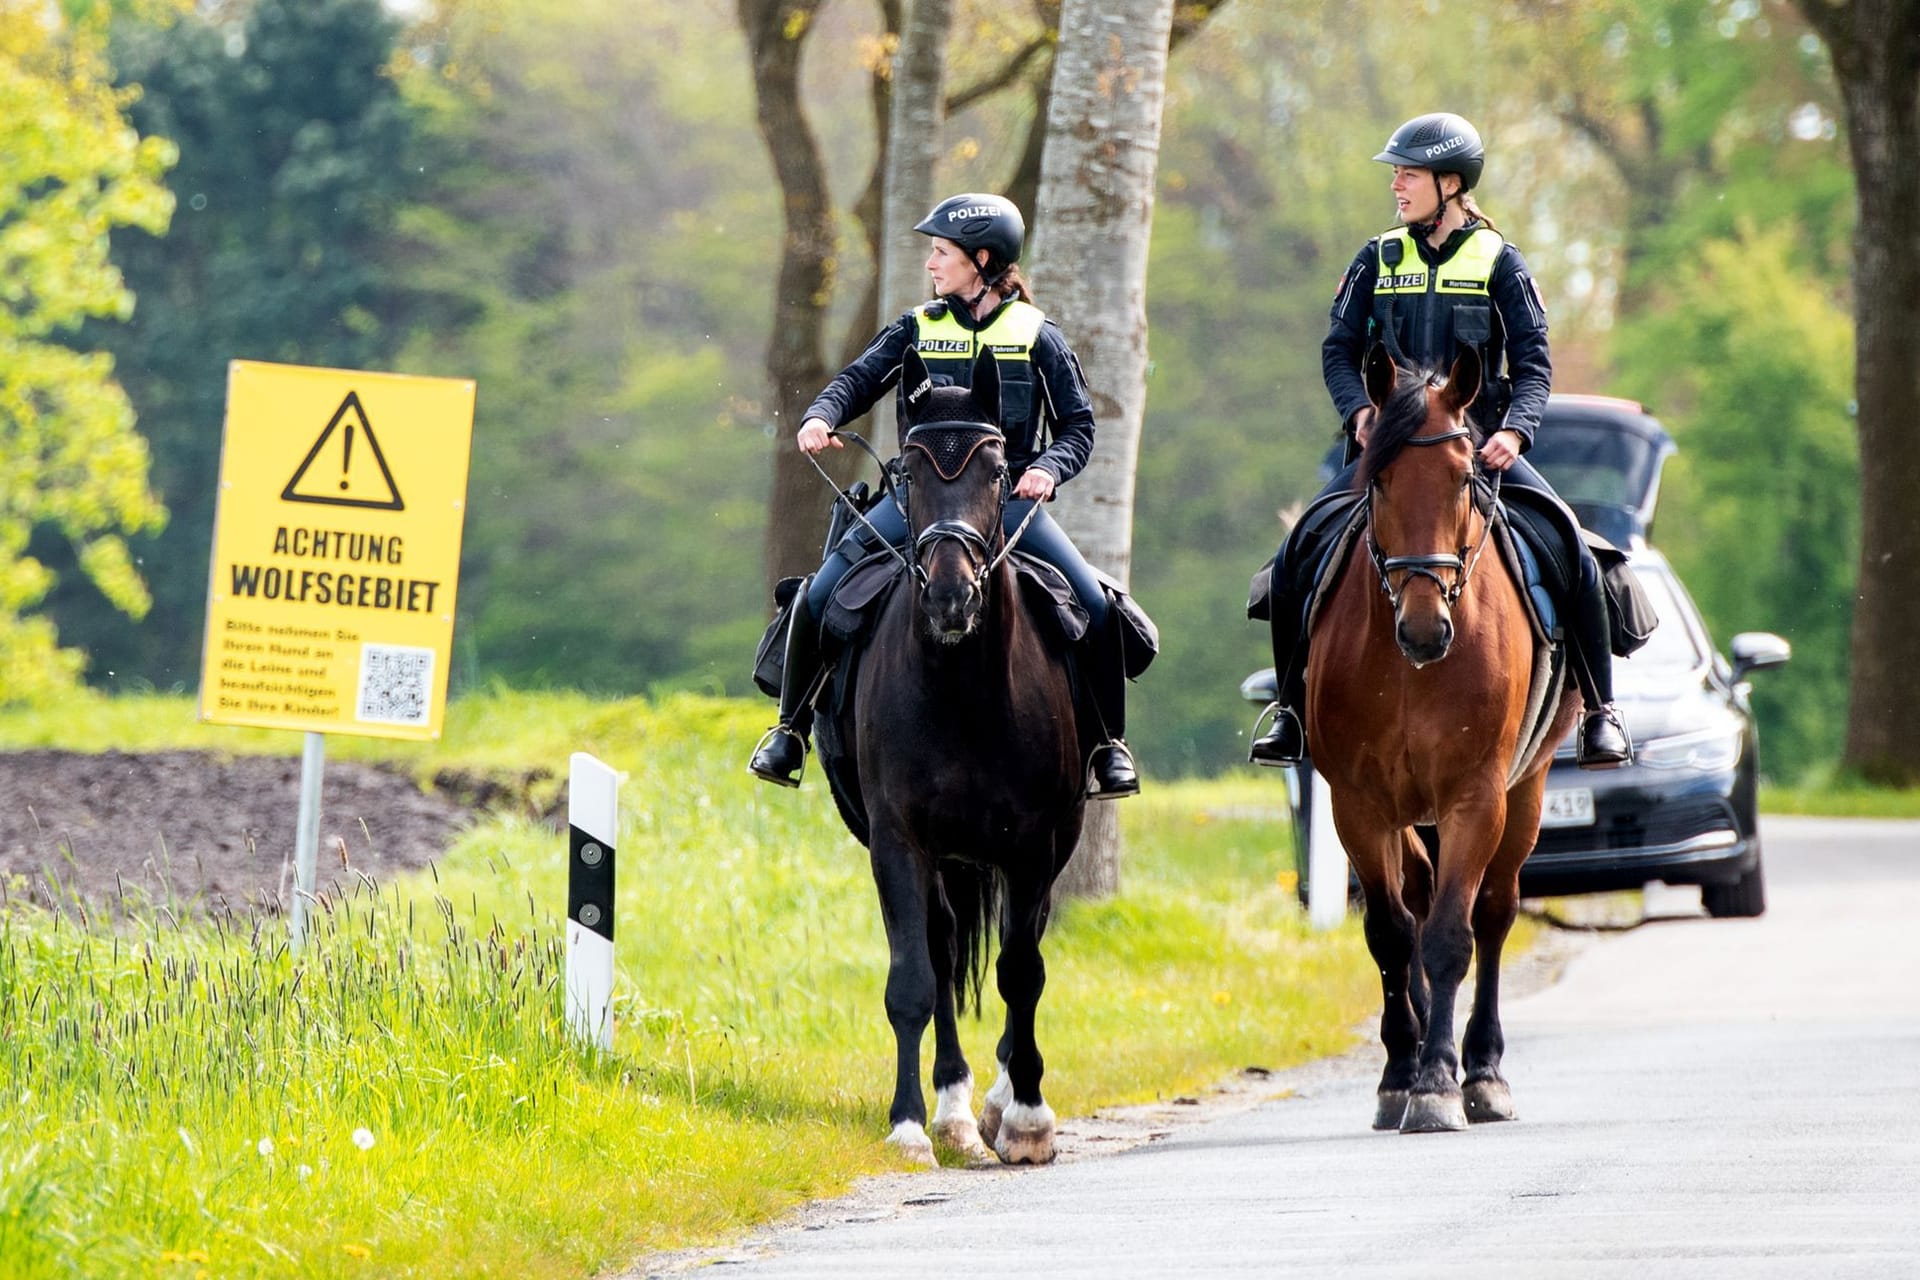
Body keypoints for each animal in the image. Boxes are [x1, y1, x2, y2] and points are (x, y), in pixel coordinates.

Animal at [810, 345, 1082, 1166]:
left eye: (996, 470)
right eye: (912, 472)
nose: (951, 598)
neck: (964, 694)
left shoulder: (1034, 845)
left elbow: (1021, 973)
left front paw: (1026, 1118)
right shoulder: (899, 842)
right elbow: (914, 982)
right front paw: (909, 1125)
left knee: (1011, 958)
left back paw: (994, 1102)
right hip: (943, 860)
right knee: (942, 953)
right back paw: (956, 1110)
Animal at [1313, 339, 1582, 1128]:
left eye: (1466, 478)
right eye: (1378, 481)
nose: (1425, 628)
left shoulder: (1474, 796)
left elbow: (1448, 937)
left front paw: (1438, 1081)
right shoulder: (1359, 805)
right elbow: (1391, 933)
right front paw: (1399, 1075)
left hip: (1525, 792)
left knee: (1491, 915)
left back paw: (1484, 1070)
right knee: (1418, 899)